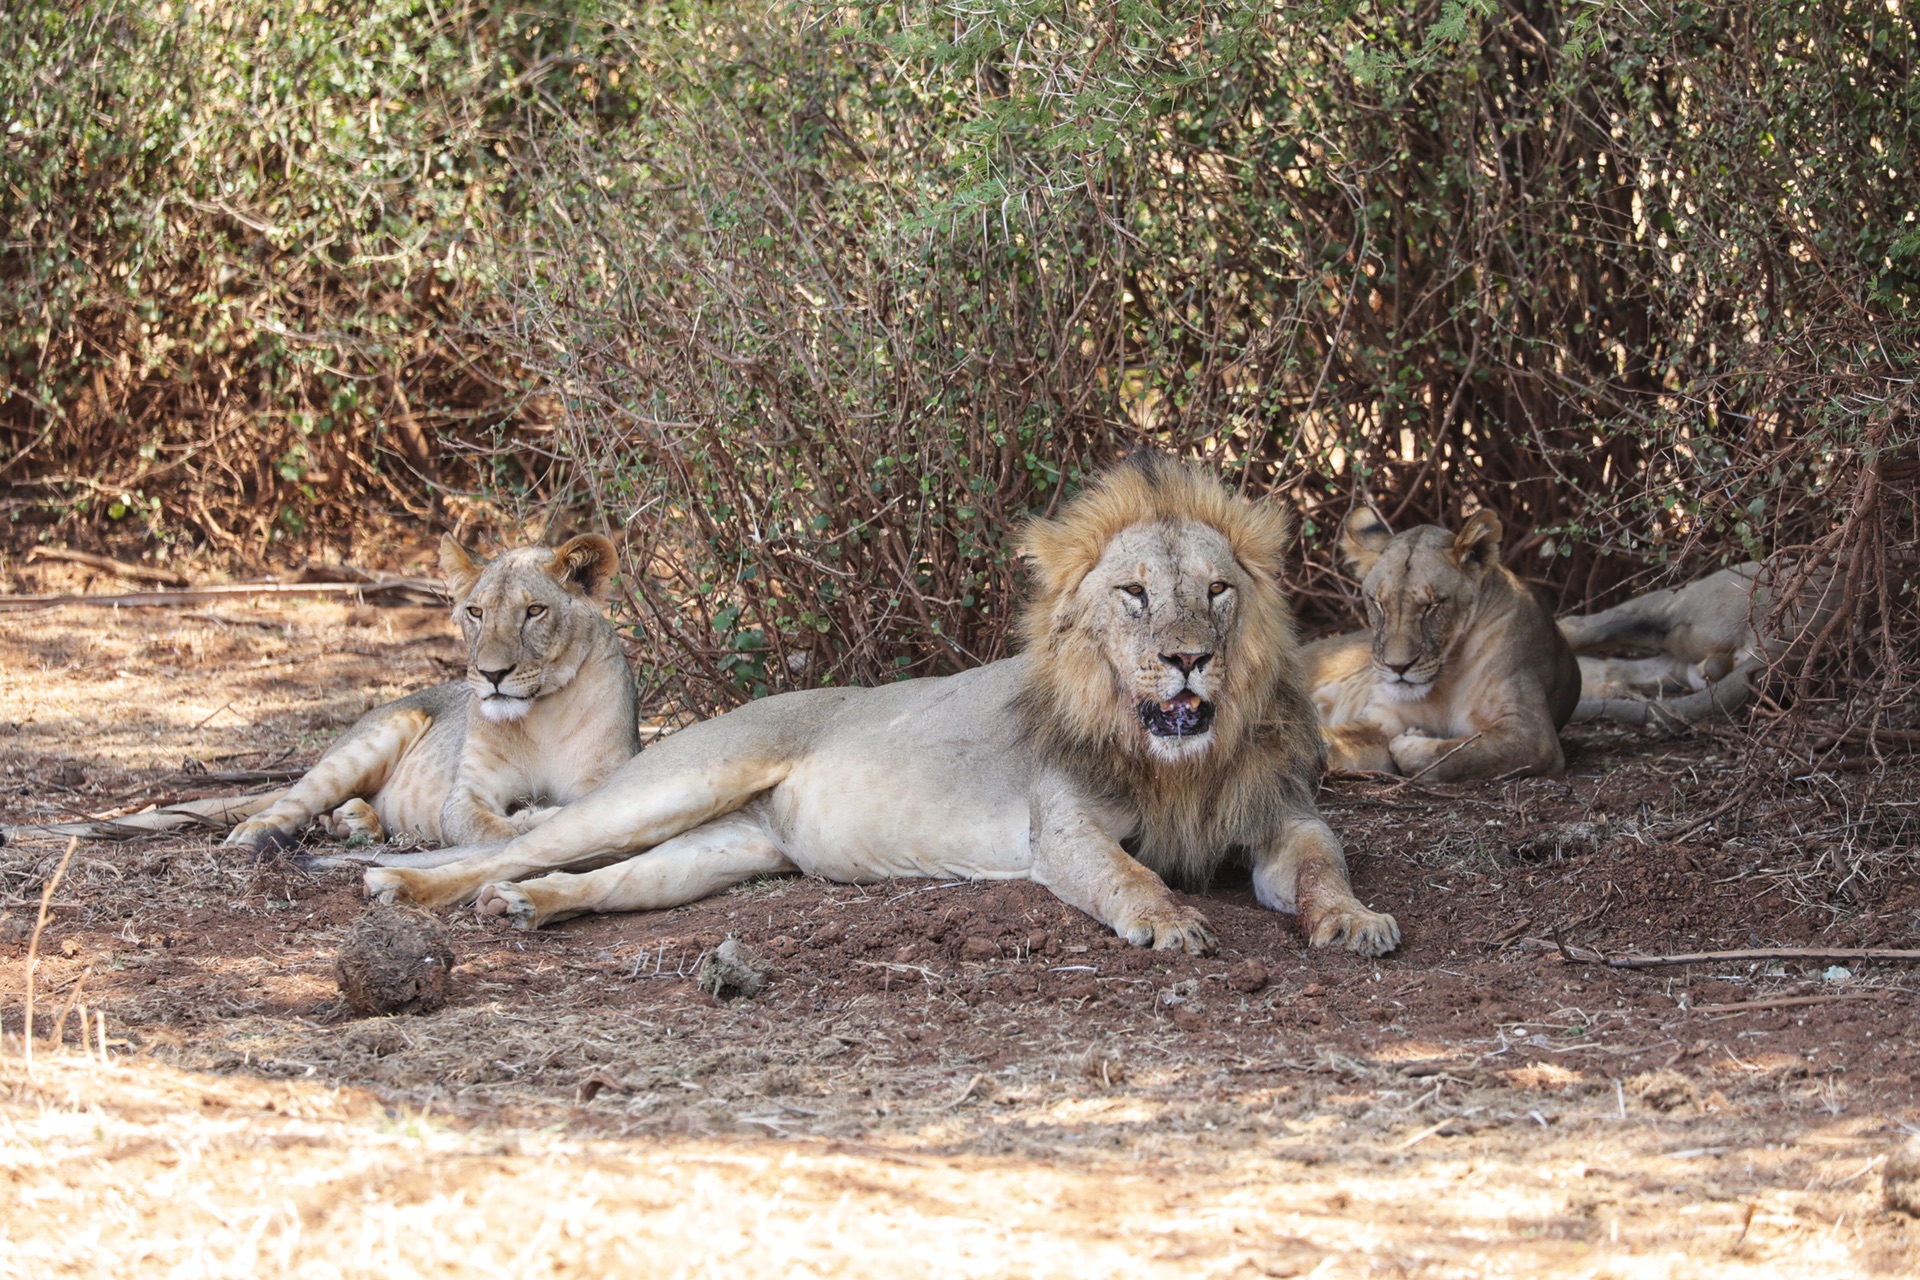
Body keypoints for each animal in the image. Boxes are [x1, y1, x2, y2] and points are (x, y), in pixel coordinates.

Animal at [360, 454, 1405, 955]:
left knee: (605, 880)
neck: (1175, 761)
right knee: (509, 845)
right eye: (1135, 595)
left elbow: (1324, 869)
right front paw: (1171, 920)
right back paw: (401, 885)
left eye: (1217, 591)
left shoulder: (1284, 818)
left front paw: (1356, 922)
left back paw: (531, 908)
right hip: (676, 783)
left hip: (721, 853)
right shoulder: (1062, 829)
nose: (1189, 660)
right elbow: (1127, 876)